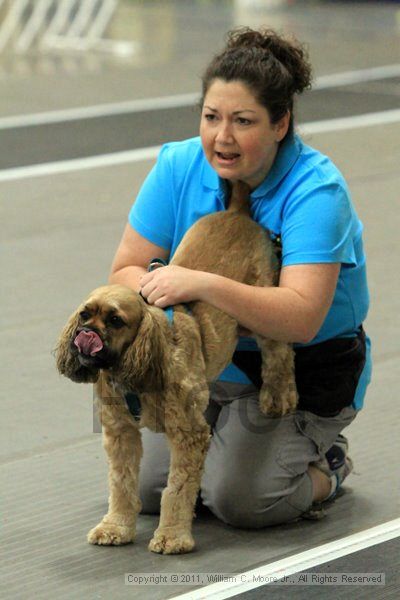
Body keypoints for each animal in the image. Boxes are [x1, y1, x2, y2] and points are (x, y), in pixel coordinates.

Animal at [55, 180, 296, 556]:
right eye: (84, 314)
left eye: (116, 320)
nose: (86, 334)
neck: (134, 373)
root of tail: (237, 210)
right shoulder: (120, 433)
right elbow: (122, 485)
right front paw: (116, 527)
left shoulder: (188, 434)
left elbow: (177, 489)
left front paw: (172, 536)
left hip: (263, 307)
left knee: (279, 354)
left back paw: (278, 397)